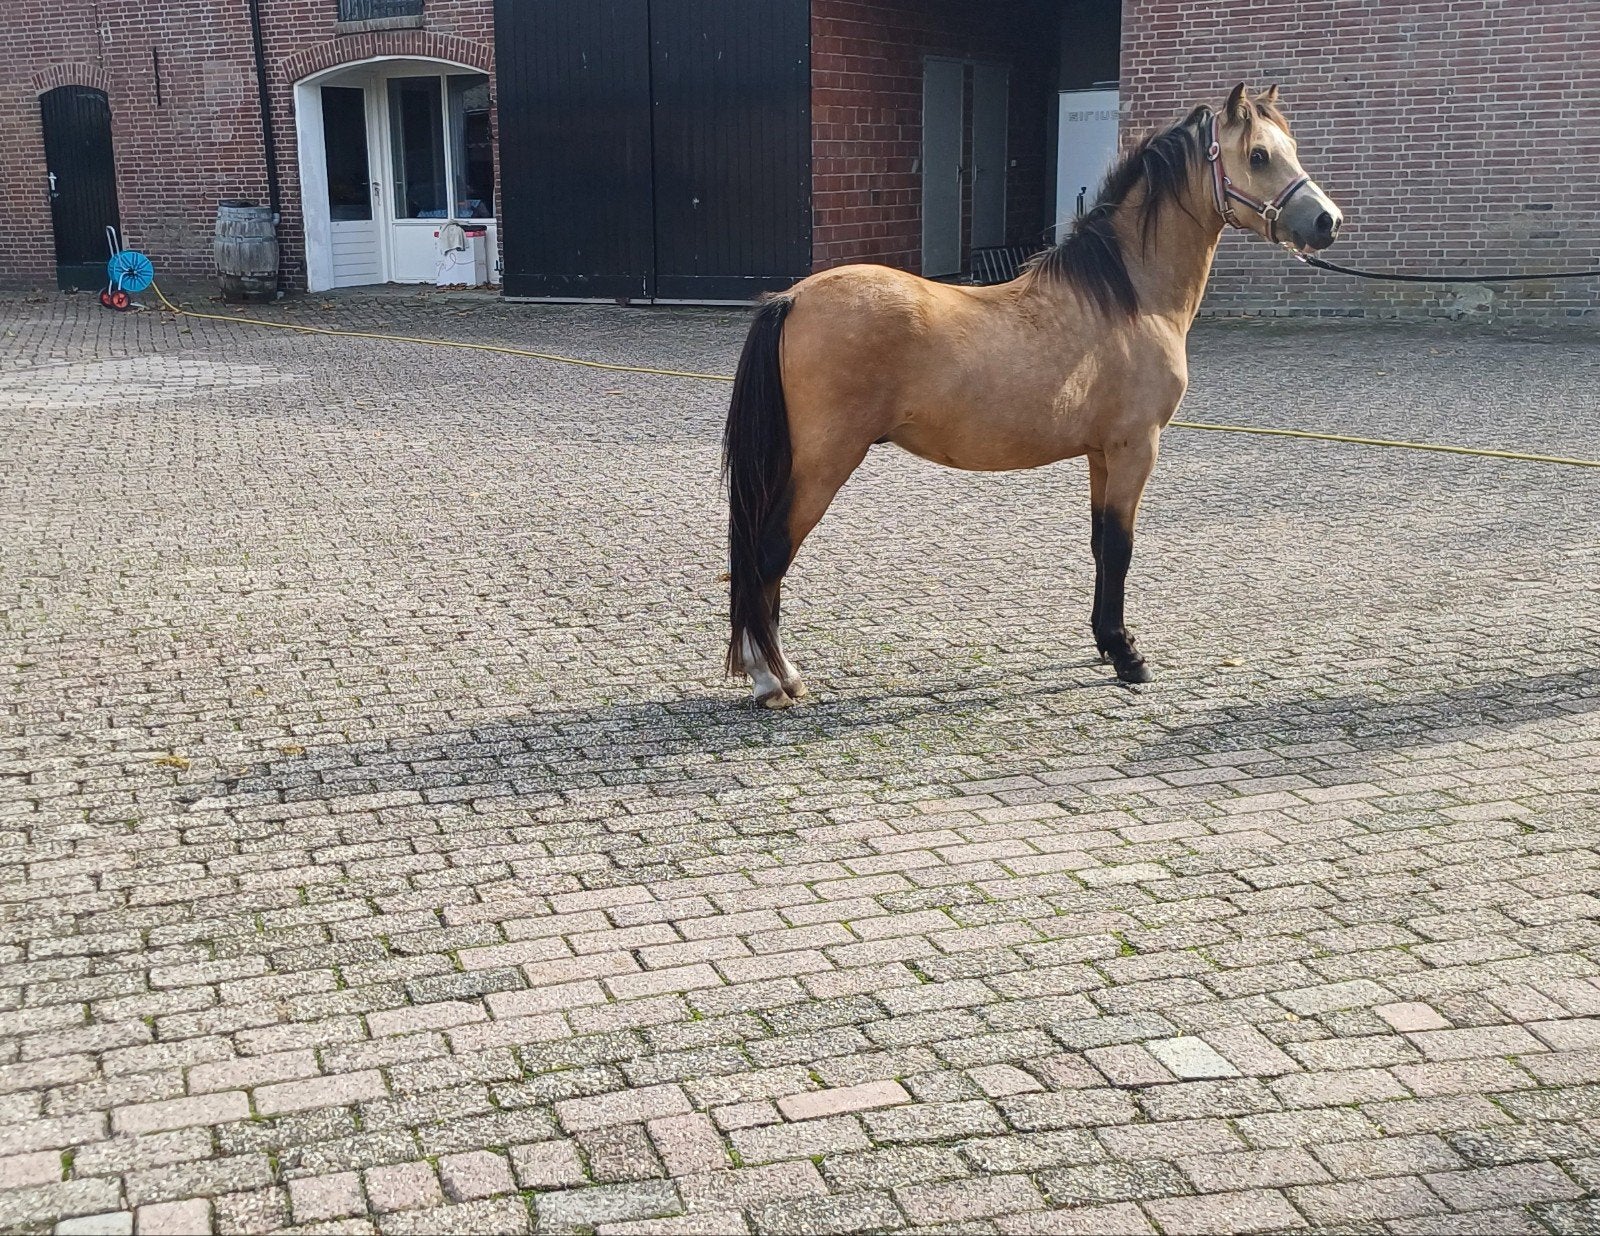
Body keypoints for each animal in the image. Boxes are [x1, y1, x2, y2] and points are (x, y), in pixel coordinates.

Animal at [723, 84, 1342, 708]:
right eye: (1259, 155)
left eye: (1290, 148)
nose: (1326, 221)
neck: (1128, 299)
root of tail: (791, 299)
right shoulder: (1136, 449)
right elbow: (1121, 548)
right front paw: (1129, 657)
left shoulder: (1102, 455)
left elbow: (1100, 545)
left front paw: (1108, 642)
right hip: (825, 462)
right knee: (770, 551)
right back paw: (774, 678)